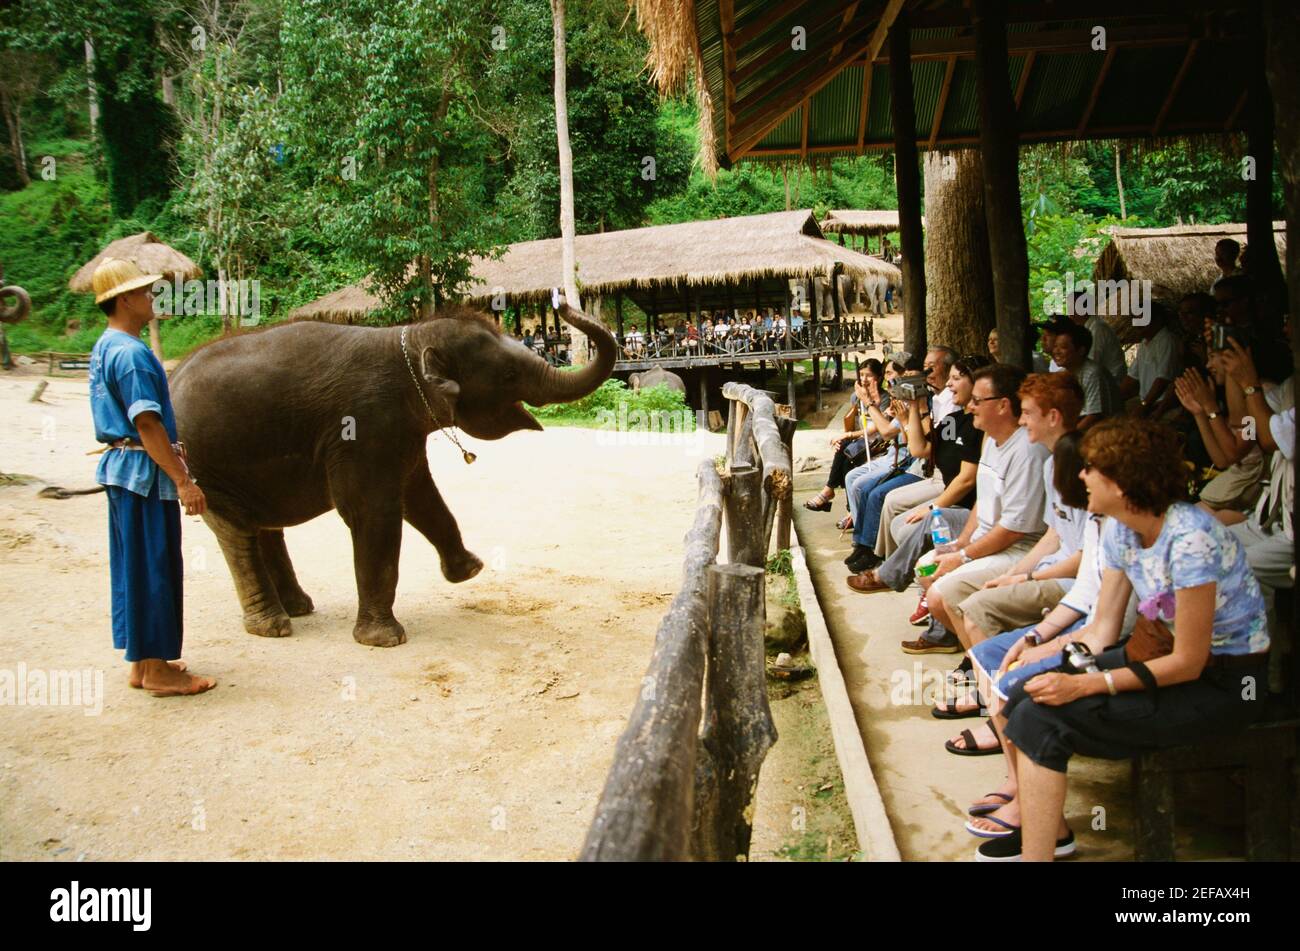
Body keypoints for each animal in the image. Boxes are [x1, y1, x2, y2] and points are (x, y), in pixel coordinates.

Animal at [169, 301, 616, 647]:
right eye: (508, 375)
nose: (562, 301)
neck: (408, 337)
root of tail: (170, 378)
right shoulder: (362, 428)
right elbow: (373, 512)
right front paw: (384, 640)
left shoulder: (401, 434)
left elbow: (421, 497)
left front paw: (469, 570)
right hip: (200, 468)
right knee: (237, 532)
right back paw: (272, 626)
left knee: (265, 528)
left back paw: (298, 608)